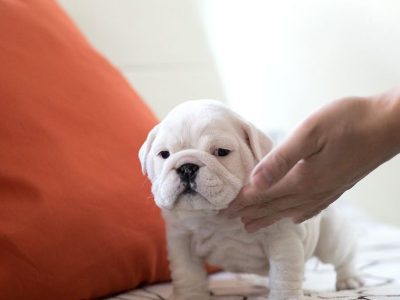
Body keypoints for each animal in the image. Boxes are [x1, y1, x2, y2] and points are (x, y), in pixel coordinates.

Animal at [139, 101, 364, 300]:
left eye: (221, 152)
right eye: (164, 154)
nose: (186, 167)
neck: (216, 216)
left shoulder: (282, 238)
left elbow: (284, 272)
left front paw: (286, 296)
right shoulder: (181, 241)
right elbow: (187, 274)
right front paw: (189, 296)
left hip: (330, 237)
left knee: (344, 254)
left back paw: (349, 279)